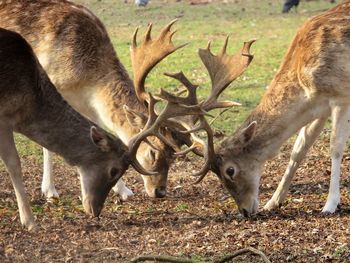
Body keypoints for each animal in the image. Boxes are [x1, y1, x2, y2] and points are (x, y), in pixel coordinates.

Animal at [0, 0, 191, 201]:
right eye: (153, 152)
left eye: (173, 156)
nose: (160, 191)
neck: (86, 81)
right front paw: (50, 191)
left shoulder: (89, 107)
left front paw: (123, 190)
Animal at [174, 1, 350, 218]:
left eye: (229, 170)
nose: (244, 211)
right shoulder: (320, 107)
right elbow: (298, 149)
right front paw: (273, 202)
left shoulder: (341, 96)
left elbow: (335, 147)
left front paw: (330, 204)